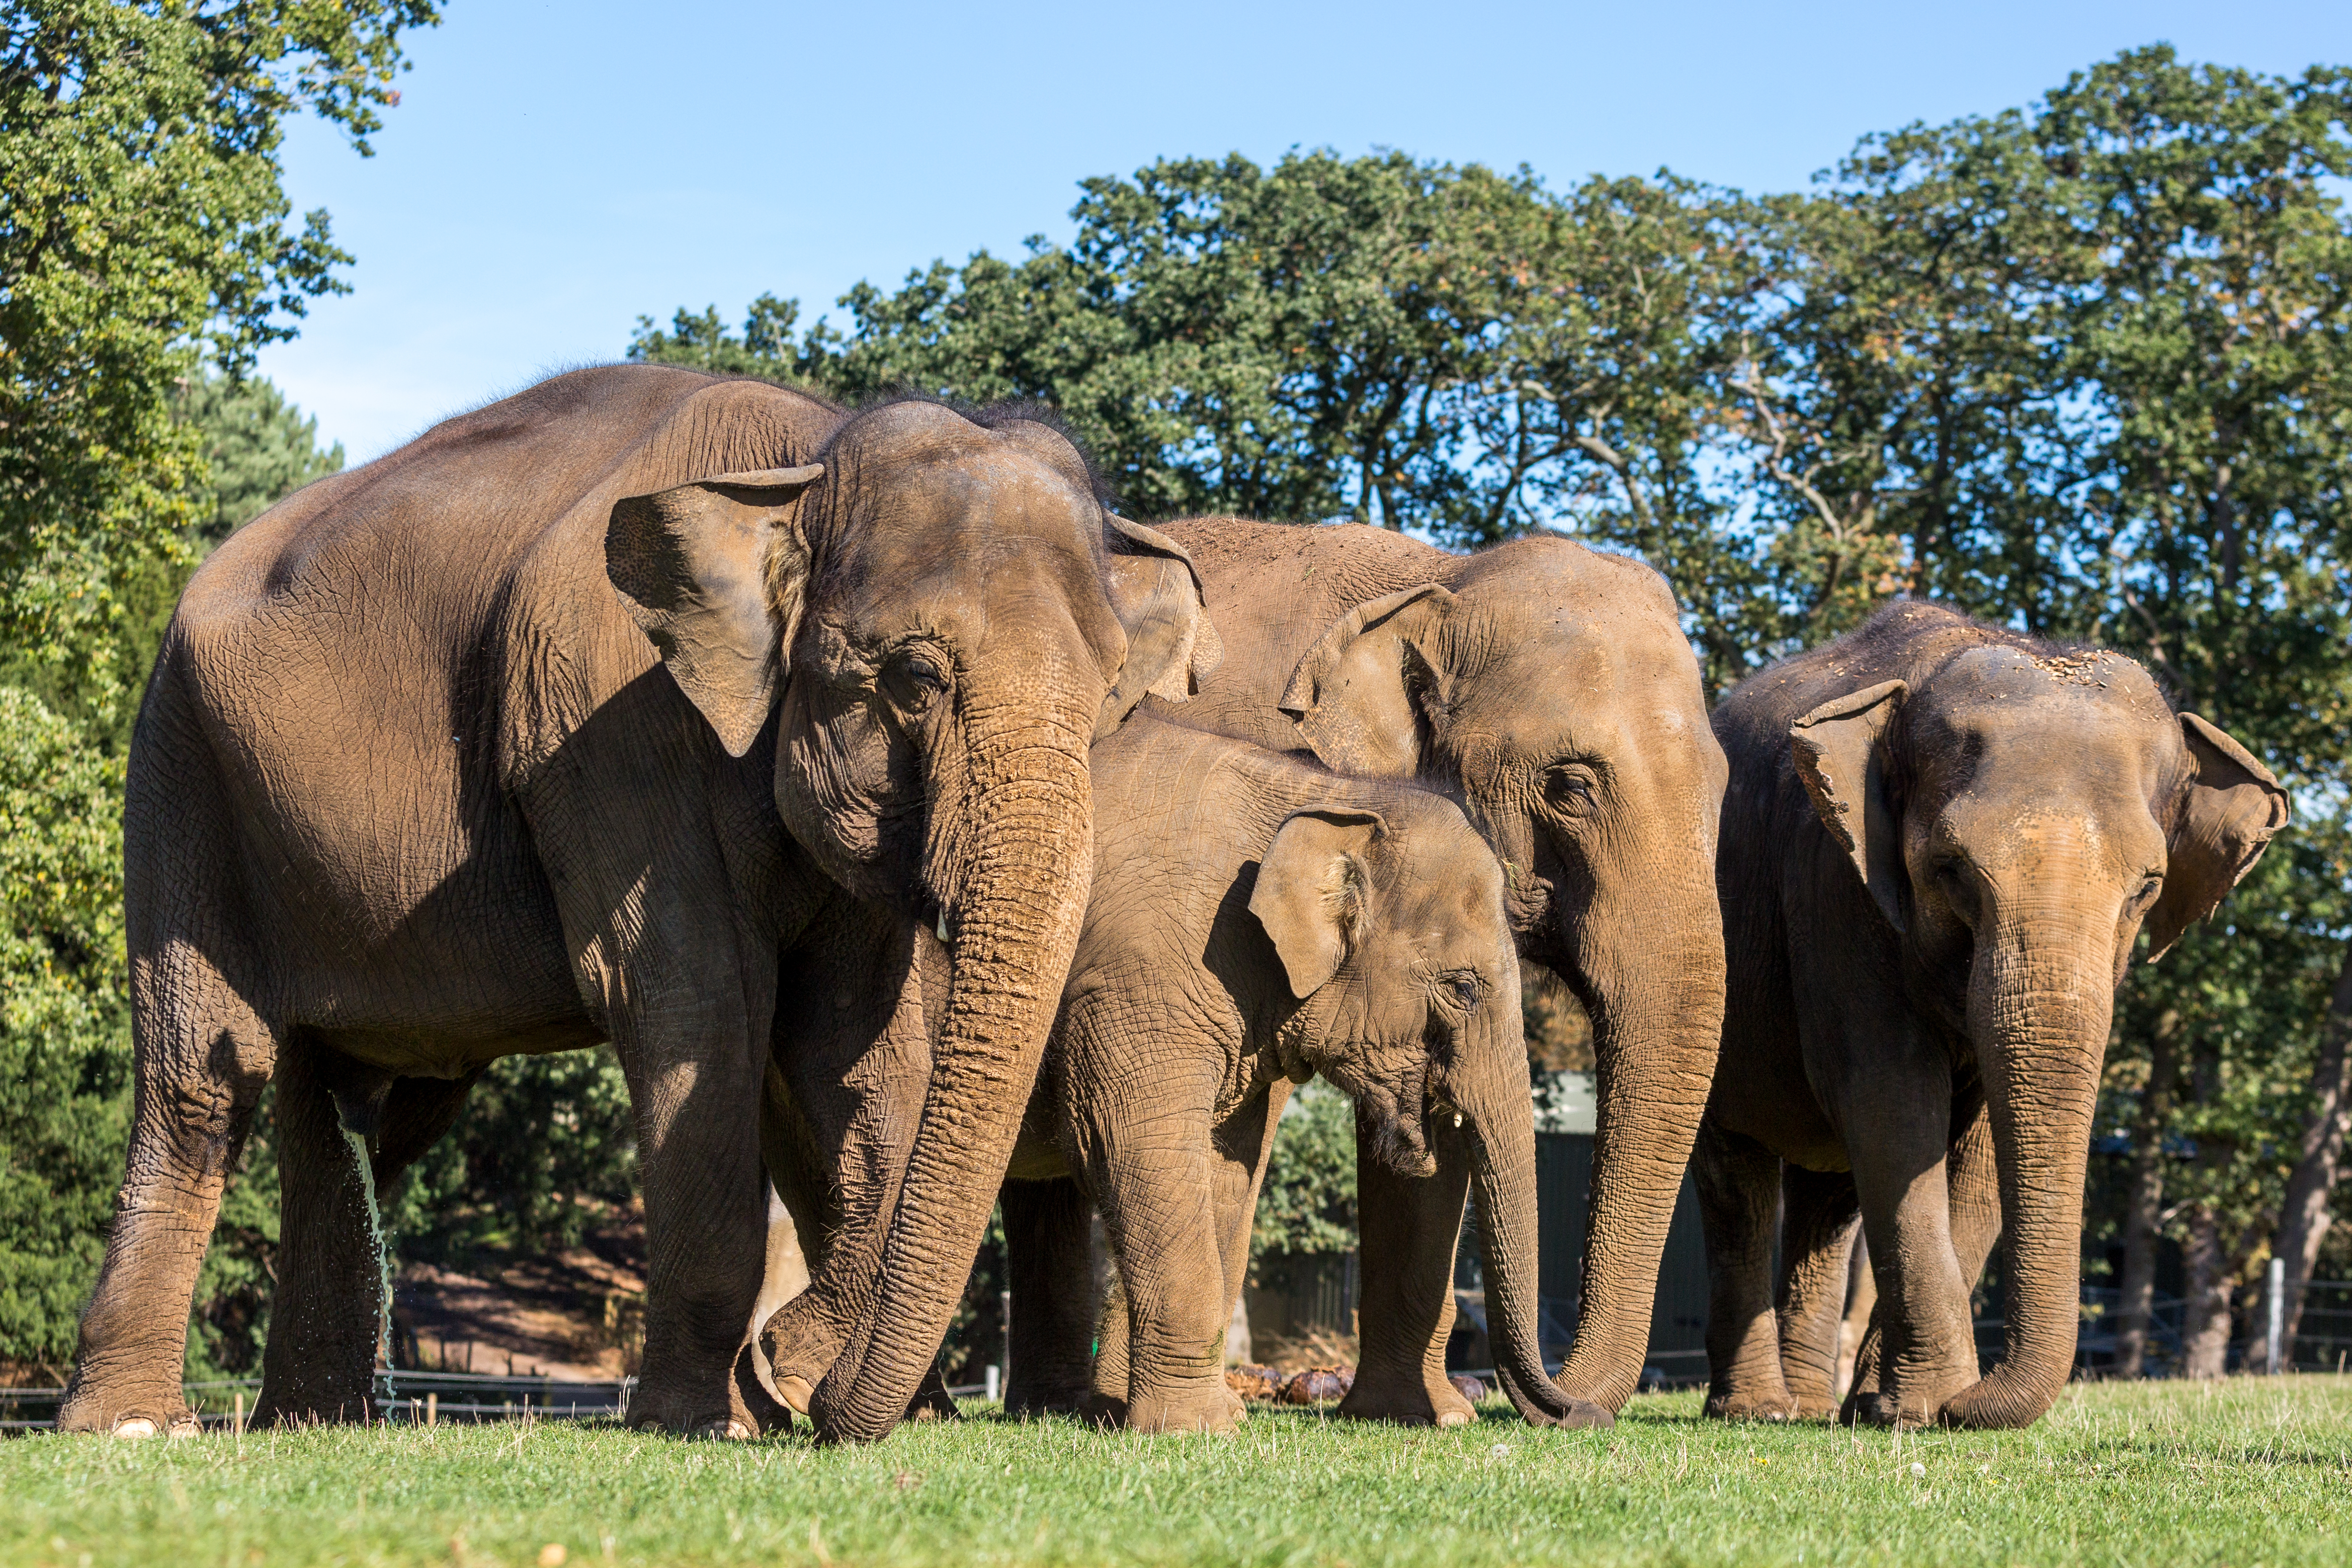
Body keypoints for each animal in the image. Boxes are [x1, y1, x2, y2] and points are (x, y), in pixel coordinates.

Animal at [55, 369, 1213, 1448]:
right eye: (915, 677)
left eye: (1112, 686)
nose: (788, 1365)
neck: (806, 456)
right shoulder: (611, 721)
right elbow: (696, 1007)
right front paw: (702, 1417)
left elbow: (855, 1043)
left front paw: (828, 1393)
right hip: (178, 772)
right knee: (206, 1079)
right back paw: (134, 1425)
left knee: (341, 1100)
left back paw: (311, 1422)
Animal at [1702, 606, 2286, 1438]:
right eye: (1949, 870)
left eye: (2147, 888)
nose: (1968, 1403)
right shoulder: (1833, 884)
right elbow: (1891, 1101)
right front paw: (1922, 1405)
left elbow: (1971, 1144)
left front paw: (1895, 1406)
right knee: (1738, 1174)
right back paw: (1757, 1409)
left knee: (1827, 1195)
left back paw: (1815, 1407)